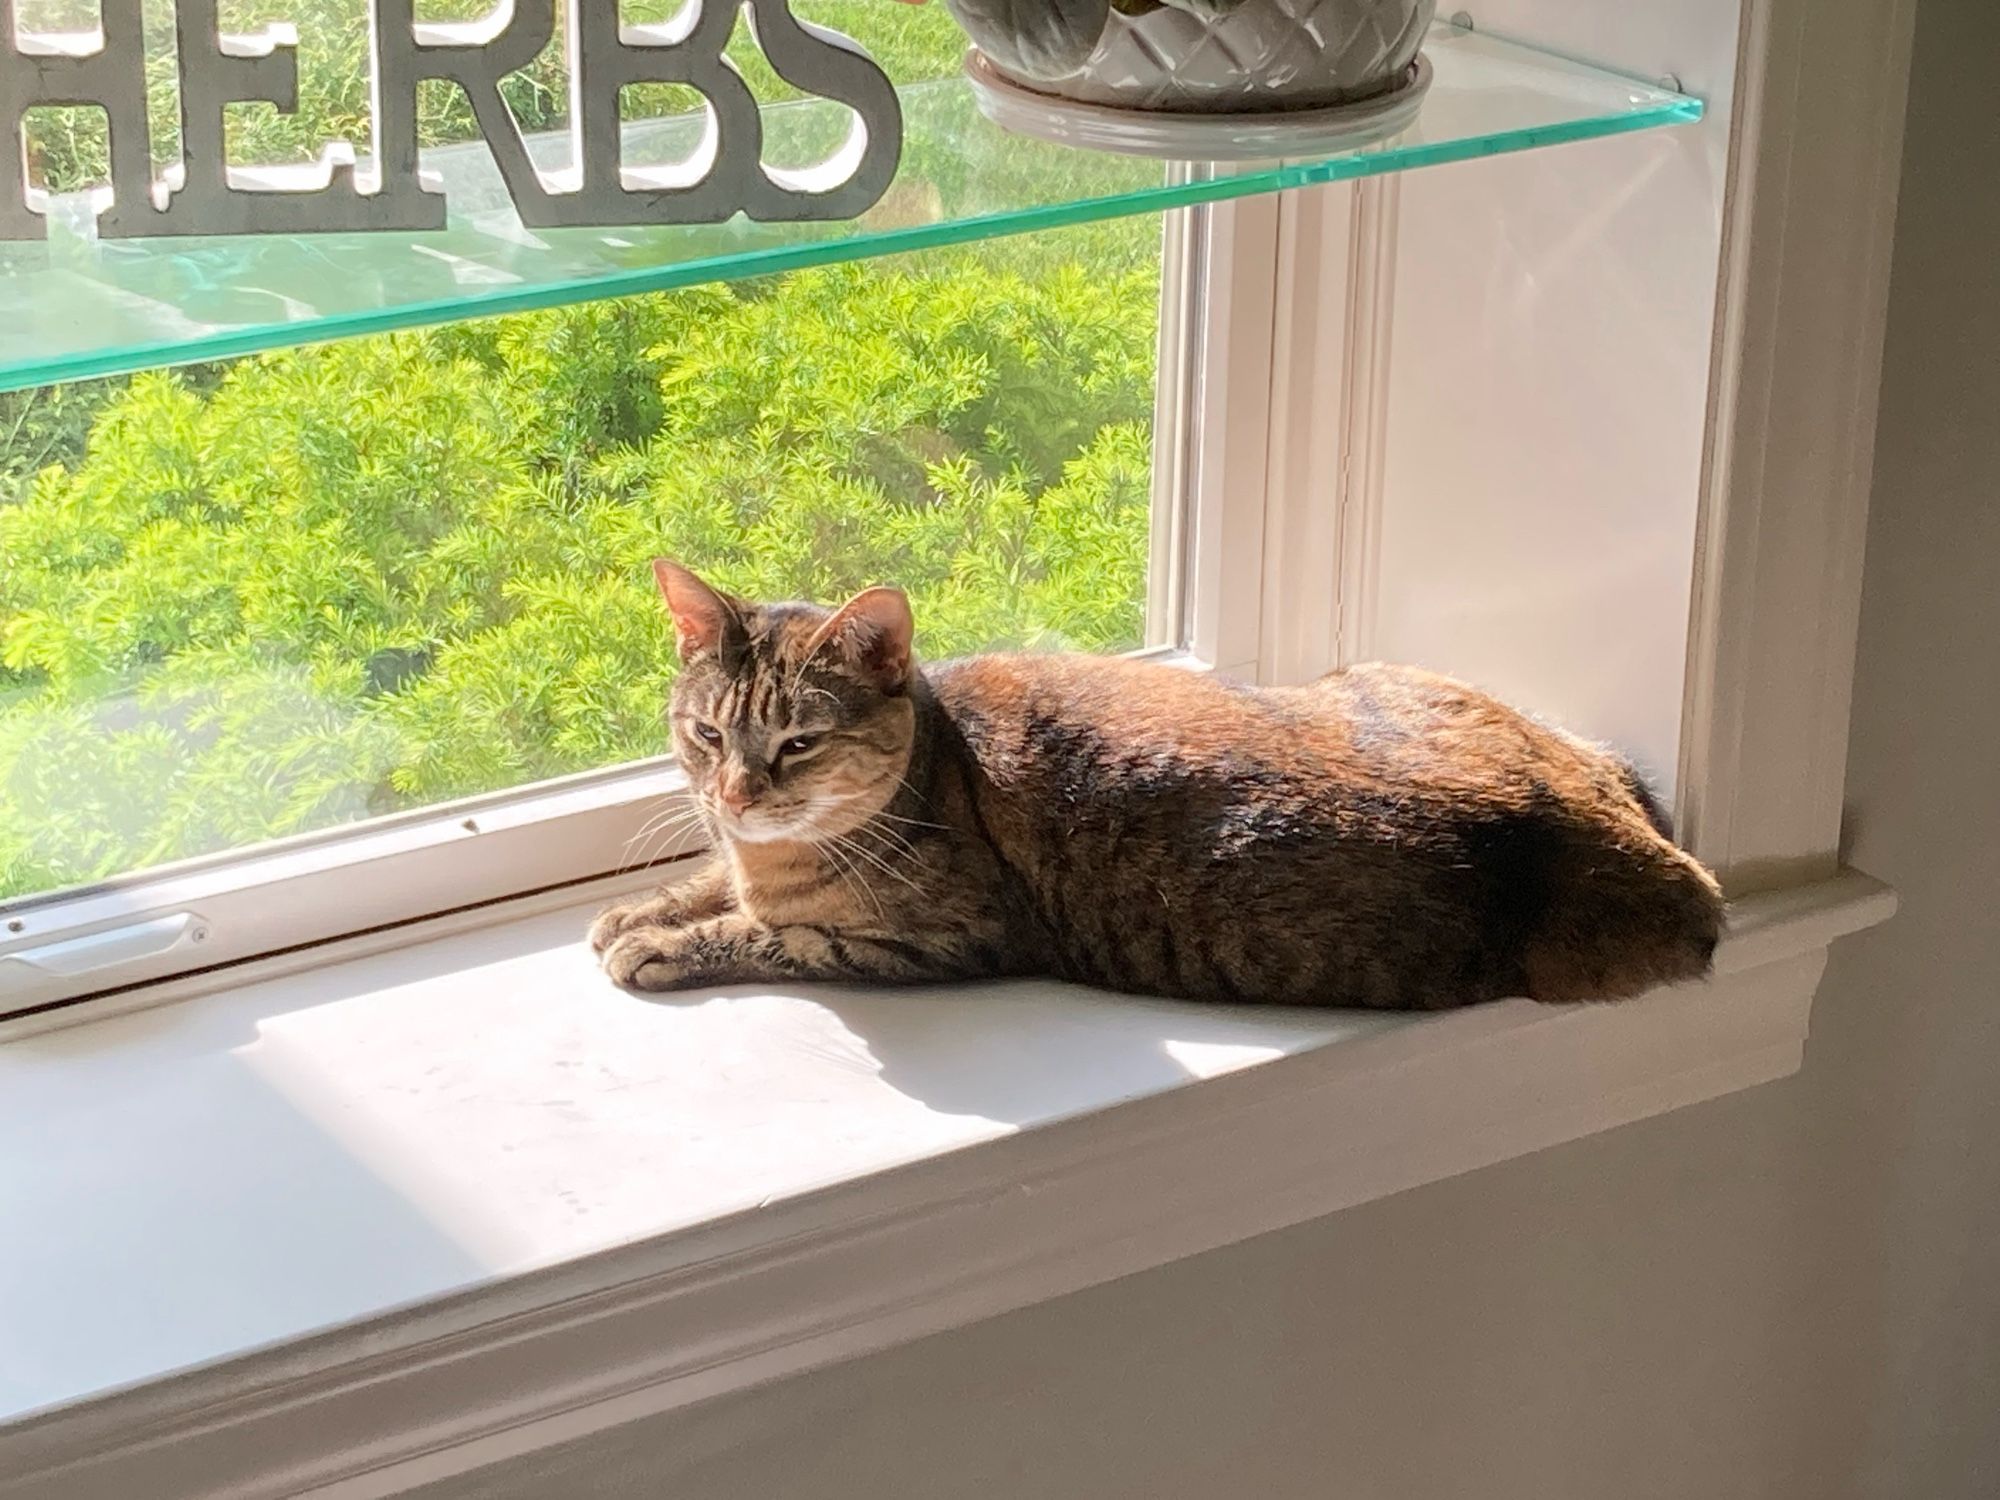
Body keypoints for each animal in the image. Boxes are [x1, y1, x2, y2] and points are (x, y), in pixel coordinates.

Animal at [588, 560, 1720, 1012]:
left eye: (799, 744)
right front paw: (642, 906)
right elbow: (710, 883)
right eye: (705, 733)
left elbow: (774, 933)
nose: (735, 794)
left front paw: (661, 939)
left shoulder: (942, 935)